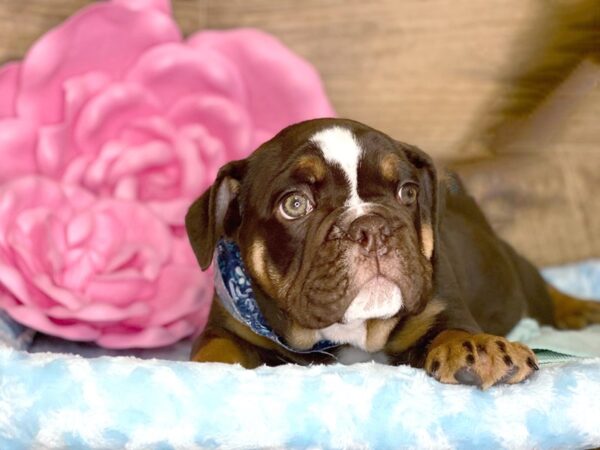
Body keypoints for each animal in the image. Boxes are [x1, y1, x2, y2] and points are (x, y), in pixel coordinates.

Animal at [185, 118, 596, 388]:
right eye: (295, 204)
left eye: (407, 193)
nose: (372, 227)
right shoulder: (227, 324)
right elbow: (216, 348)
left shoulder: (439, 303)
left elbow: (453, 329)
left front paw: (479, 349)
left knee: (541, 289)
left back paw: (580, 308)